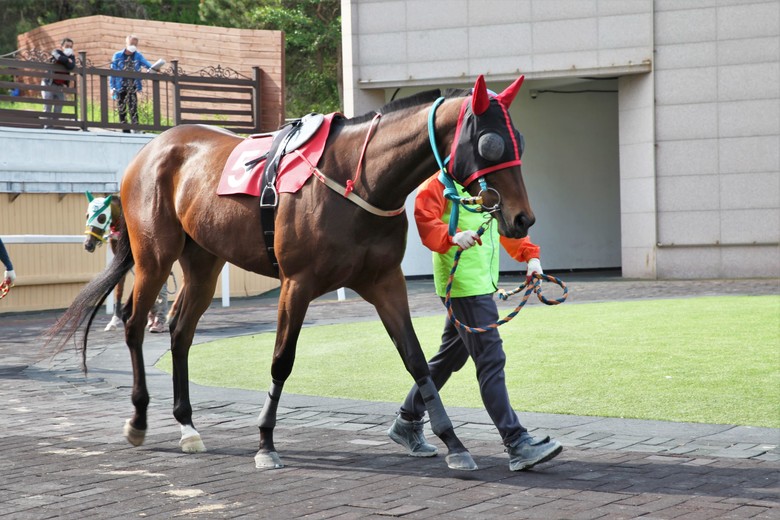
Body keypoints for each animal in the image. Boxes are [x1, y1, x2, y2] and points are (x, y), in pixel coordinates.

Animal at [48, 74, 535, 471]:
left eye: (520, 141)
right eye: (490, 143)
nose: (522, 219)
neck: (358, 179)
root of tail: (149, 150)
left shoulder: (384, 281)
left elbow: (416, 360)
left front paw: (453, 442)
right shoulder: (296, 284)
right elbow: (282, 360)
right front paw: (265, 441)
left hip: (203, 260)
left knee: (180, 329)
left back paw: (188, 426)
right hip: (154, 255)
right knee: (133, 324)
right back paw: (138, 419)